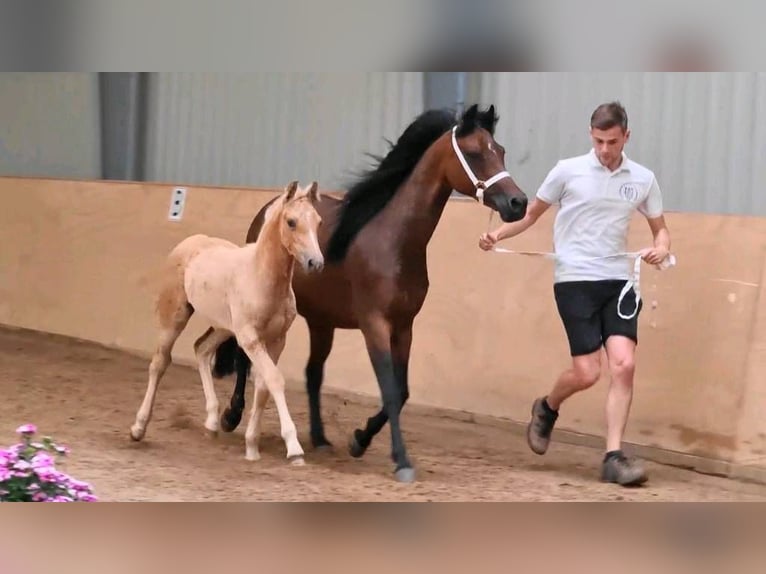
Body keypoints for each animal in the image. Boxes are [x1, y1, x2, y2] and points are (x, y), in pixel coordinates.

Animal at [130, 182, 322, 466]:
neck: (261, 277)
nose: (315, 263)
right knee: (159, 363)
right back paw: (139, 427)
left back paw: (211, 422)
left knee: (201, 349)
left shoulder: (276, 340)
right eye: (291, 222)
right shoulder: (250, 339)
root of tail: (189, 243)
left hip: (222, 327)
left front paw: (252, 446)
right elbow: (275, 380)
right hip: (174, 317)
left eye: (318, 222)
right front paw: (294, 449)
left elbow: (263, 386)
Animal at [213, 103, 532, 482]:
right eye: (474, 153)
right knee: (245, 358)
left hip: (322, 322)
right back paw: (231, 416)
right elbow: (390, 390)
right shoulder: (374, 324)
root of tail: (271, 208)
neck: (395, 243)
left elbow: (402, 390)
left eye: (500, 151)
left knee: (312, 373)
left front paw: (359, 440)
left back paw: (320, 438)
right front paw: (401, 460)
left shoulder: (404, 327)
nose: (518, 202)